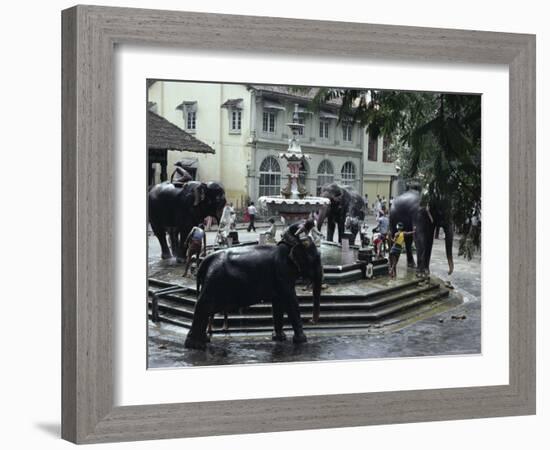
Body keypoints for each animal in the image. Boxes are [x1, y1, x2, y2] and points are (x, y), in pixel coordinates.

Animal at [185, 227, 324, 350]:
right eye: (316, 259)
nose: (311, 320)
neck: (289, 246)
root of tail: (205, 260)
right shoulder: (282, 272)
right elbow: (290, 300)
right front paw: (302, 341)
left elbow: (278, 302)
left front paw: (279, 338)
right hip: (214, 280)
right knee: (204, 305)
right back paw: (196, 346)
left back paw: (204, 341)